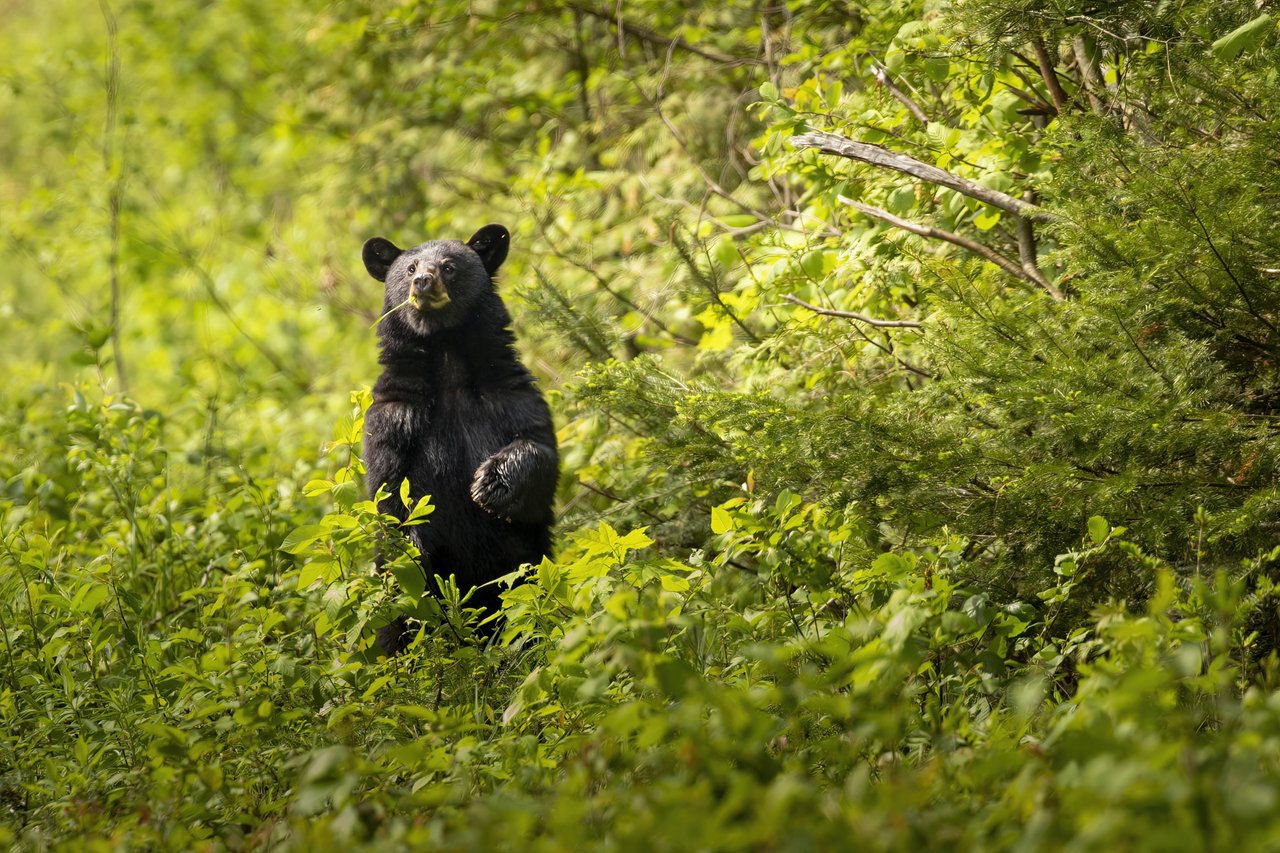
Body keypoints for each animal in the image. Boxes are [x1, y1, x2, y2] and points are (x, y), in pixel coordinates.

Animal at [360, 224, 558, 653]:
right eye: (410, 267)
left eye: (449, 266)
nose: (423, 281)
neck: (447, 359)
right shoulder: (393, 418)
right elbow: (387, 494)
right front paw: (416, 546)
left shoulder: (510, 396)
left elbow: (540, 453)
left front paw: (491, 483)